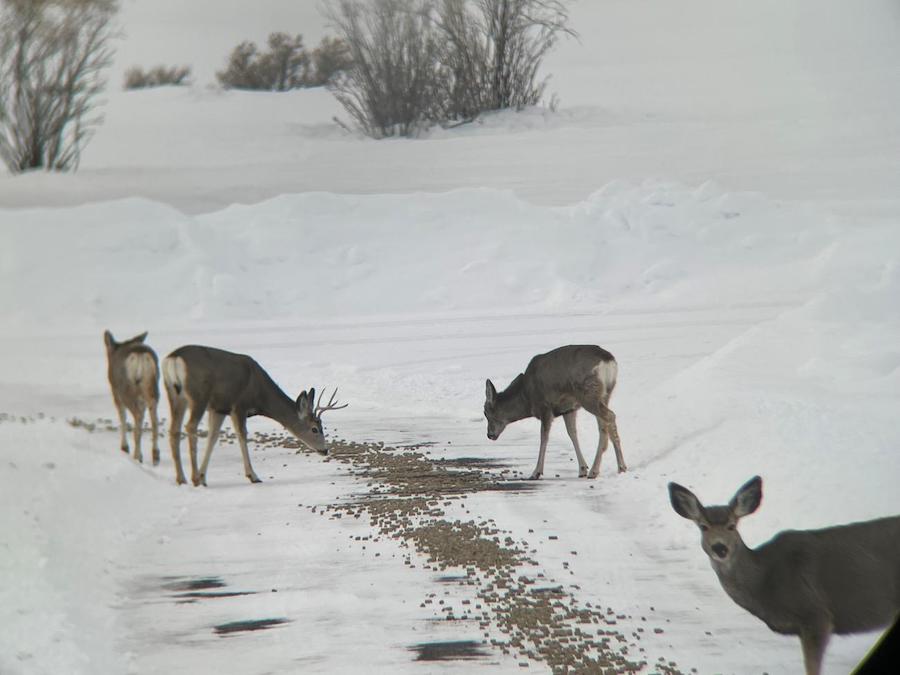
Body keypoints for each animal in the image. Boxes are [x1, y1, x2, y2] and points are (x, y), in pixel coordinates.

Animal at [103, 330, 161, 465]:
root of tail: (141, 356)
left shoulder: (115, 392)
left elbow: (122, 417)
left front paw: (124, 447)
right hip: (152, 389)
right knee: (154, 420)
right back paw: (155, 455)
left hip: (126, 390)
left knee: (137, 416)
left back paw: (137, 456)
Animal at [162, 345, 347, 487]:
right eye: (315, 429)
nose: (325, 450)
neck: (260, 394)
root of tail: (173, 358)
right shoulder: (238, 405)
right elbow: (242, 436)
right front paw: (253, 476)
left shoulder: (219, 408)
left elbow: (212, 437)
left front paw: (204, 477)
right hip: (198, 395)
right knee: (190, 426)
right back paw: (192, 478)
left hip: (175, 394)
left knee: (174, 430)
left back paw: (181, 478)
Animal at [483, 344, 626, 480]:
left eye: (486, 413)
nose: (489, 435)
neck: (526, 397)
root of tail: (608, 361)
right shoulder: (569, 408)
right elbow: (572, 433)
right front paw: (582, 469)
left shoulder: (545, 407)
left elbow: (544, 437)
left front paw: (536, 472)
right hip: (604, 394)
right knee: (604, 425)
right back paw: (611, 468)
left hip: (588, 394)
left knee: (610, 416)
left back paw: (605, 469)